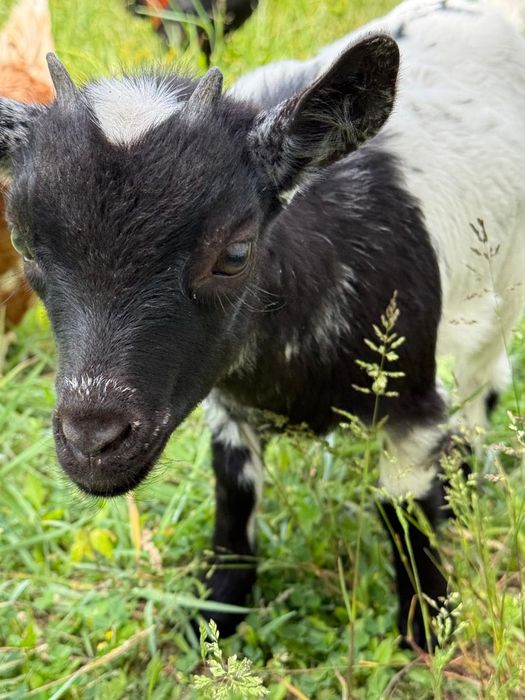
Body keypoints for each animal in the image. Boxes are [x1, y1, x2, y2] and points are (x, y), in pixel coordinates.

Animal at [0, 0, 524, 651]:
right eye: (23, 242)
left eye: (235, 252)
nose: (93, 442)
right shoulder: (227, 410)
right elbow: (234, 502)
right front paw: (214, 619)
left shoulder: (411, 408)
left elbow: (406, 518)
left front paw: (427, 629)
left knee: (484, 377)